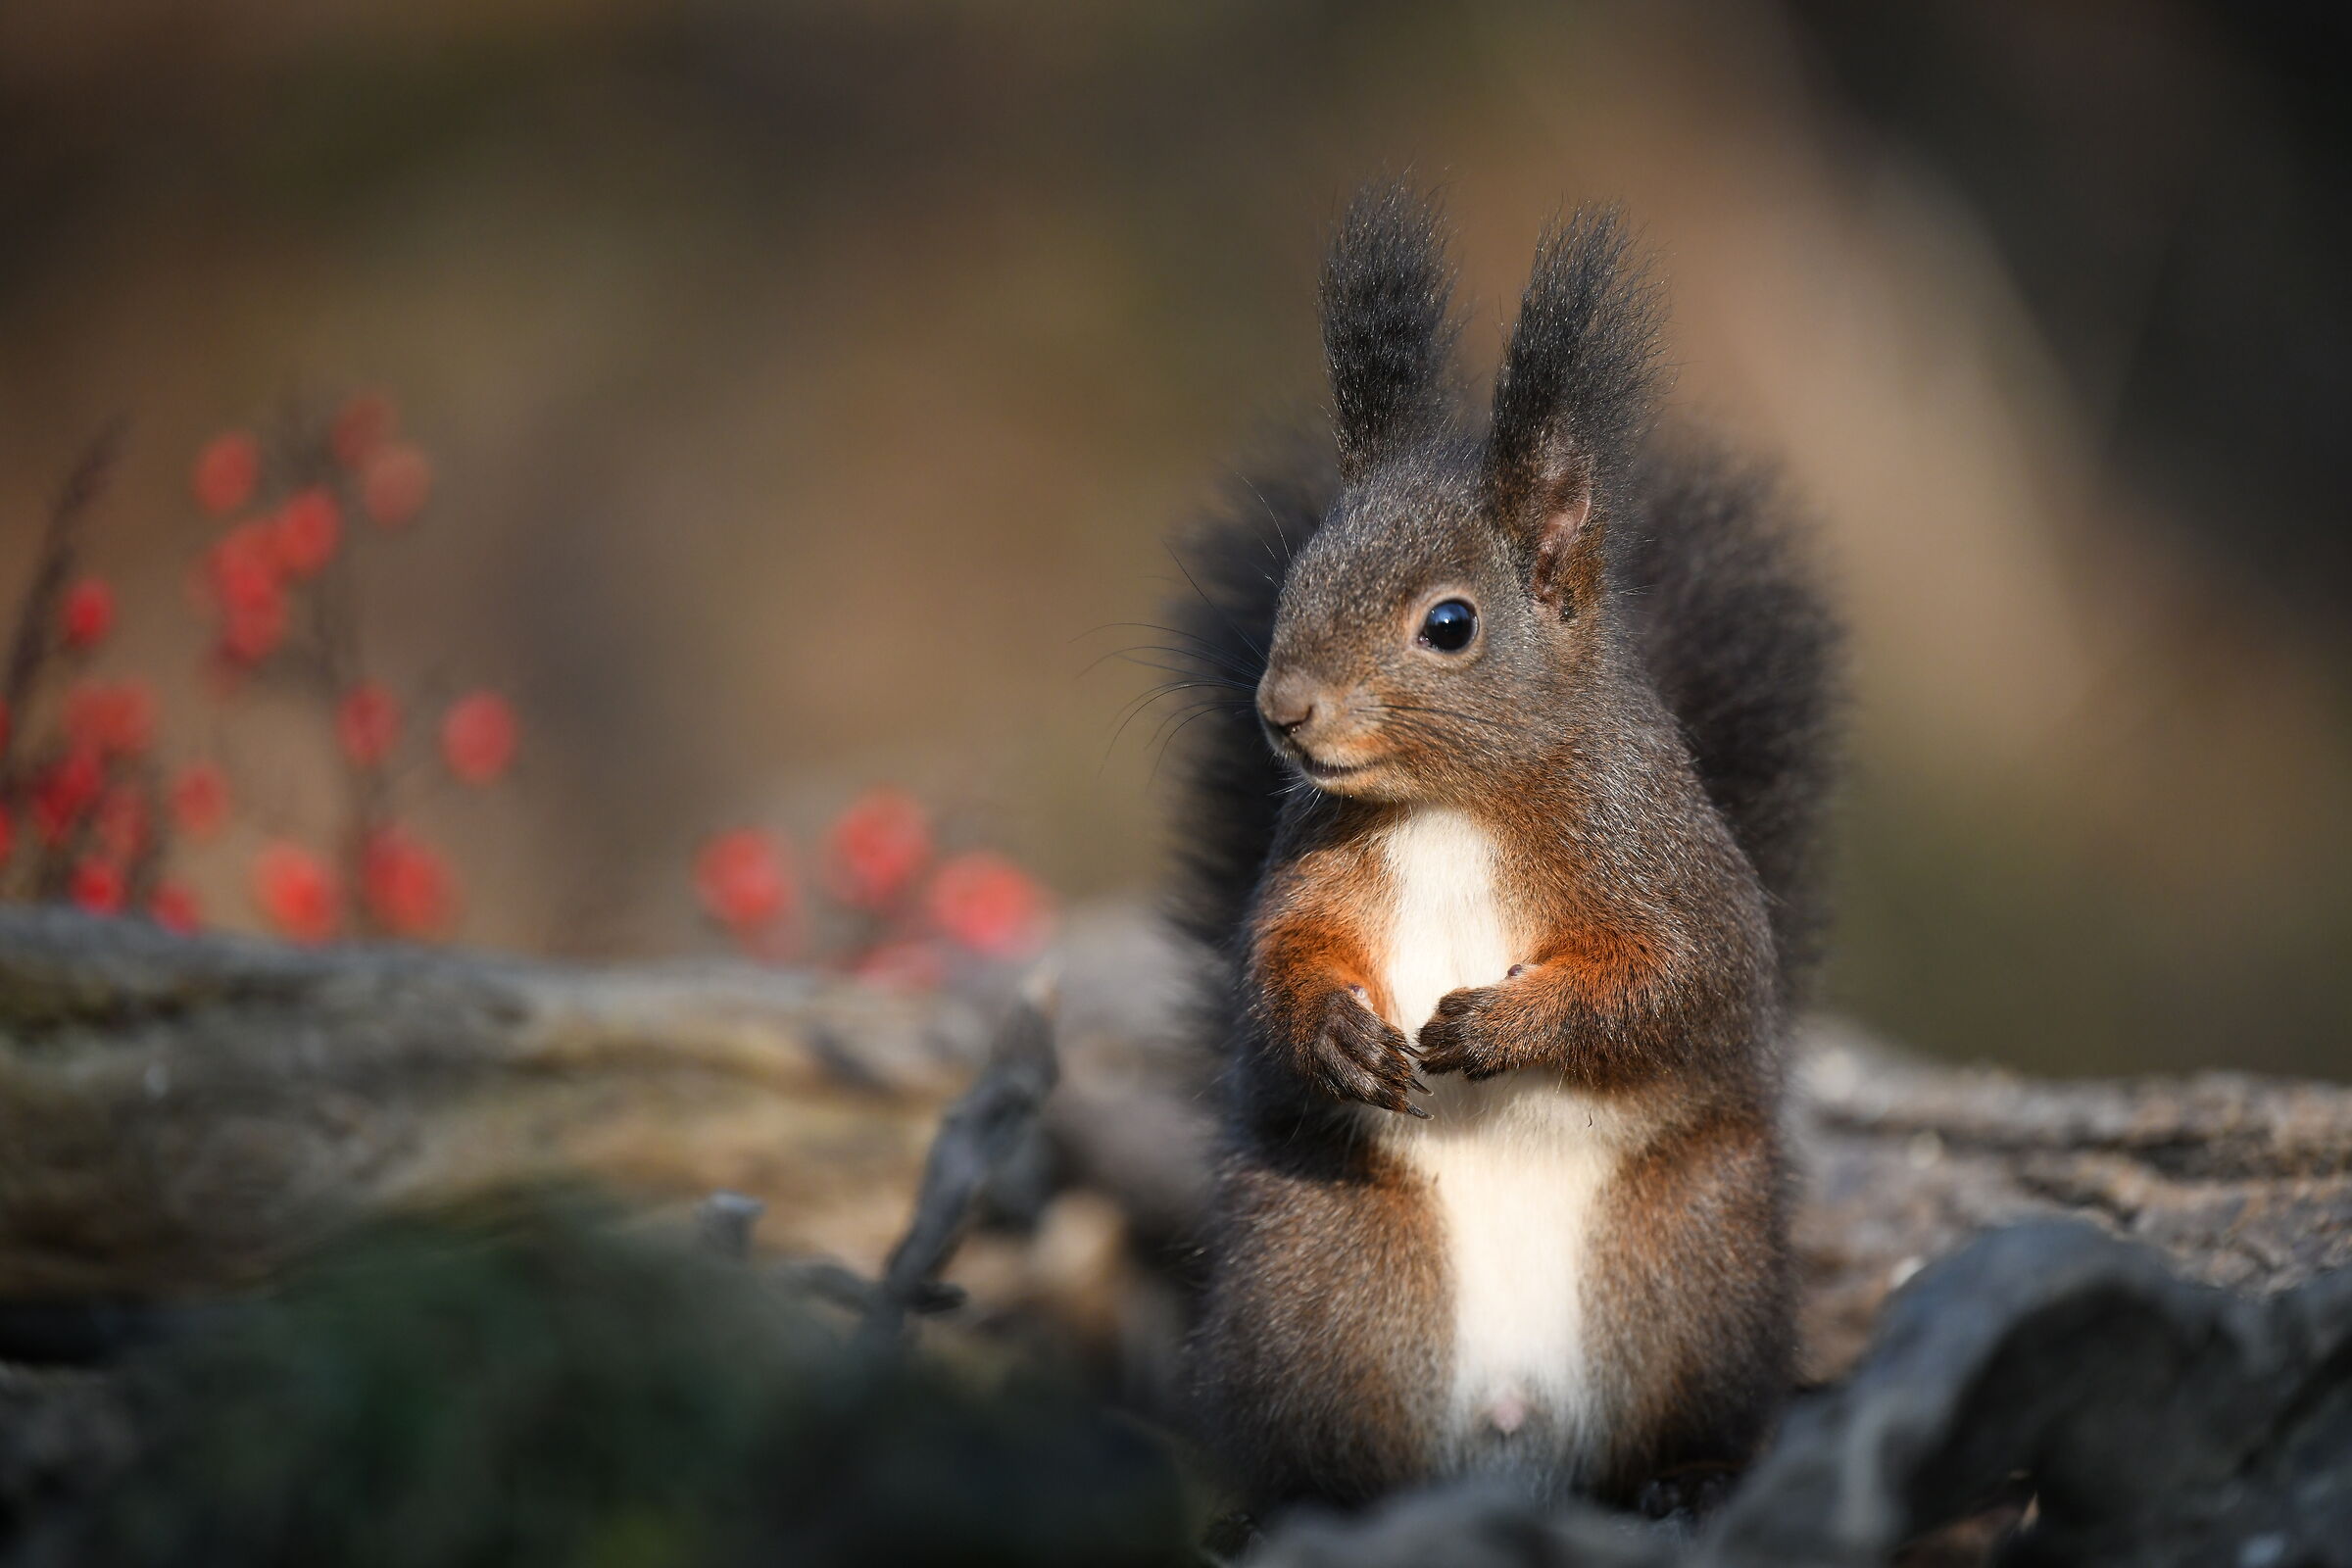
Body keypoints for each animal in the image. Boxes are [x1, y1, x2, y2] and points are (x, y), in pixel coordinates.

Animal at [1166, 186, 1841, 1512]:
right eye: (1299, 570)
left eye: (1449, 624)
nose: (1281, 707)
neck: (1450, 807)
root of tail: (1511, 1430)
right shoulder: (1313, 867)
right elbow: (1275, 960)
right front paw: (1334, 1032)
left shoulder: (1660, 862)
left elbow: (1674, 980)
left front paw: (1505, 1026)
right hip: (1320, 1275)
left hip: (1695, 1265)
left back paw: (1685, 1479)